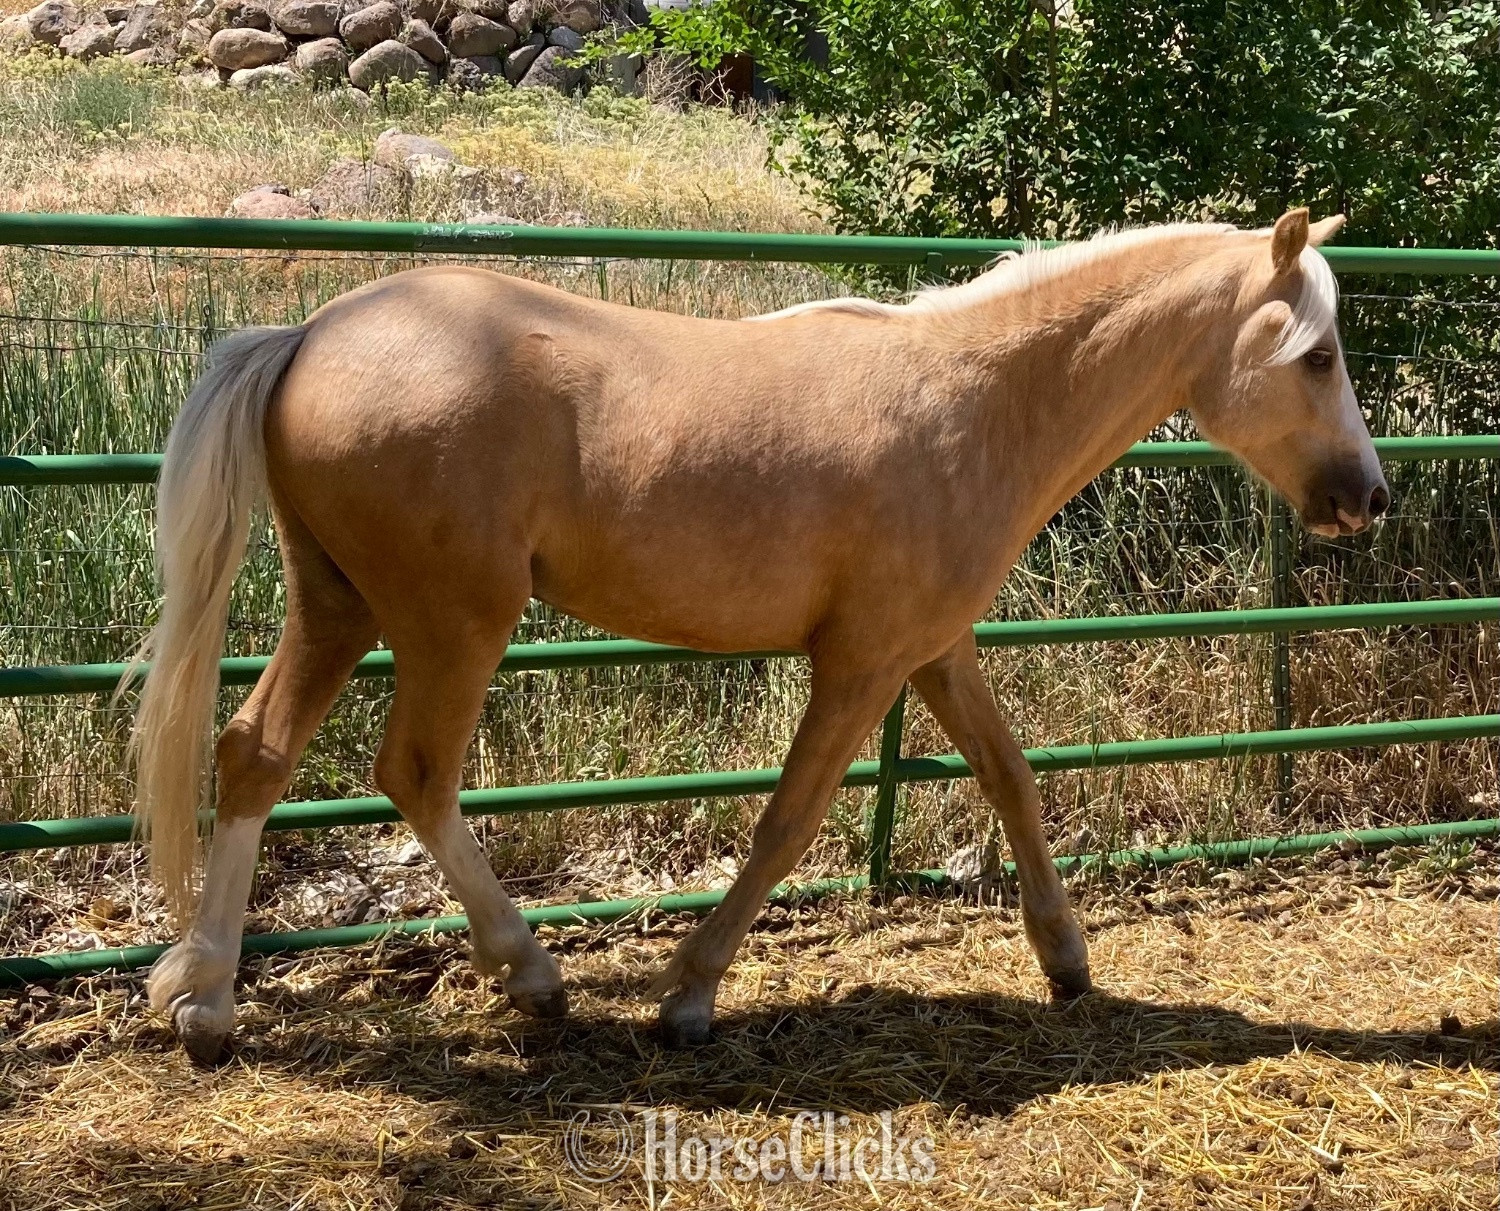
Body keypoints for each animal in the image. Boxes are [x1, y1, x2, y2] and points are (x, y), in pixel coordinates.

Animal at [125, 209, 1388, 1060]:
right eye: (1318, 354)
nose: (1366, 497)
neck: (979, 400)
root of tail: (308, 332)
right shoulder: (862, 662)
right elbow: (789, 822)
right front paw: (688, 992)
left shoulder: (935, 649)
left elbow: (1014, 779)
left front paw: (1066, 959)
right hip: (452, 620)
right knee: (417, 772)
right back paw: (528, 972)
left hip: (339, 602)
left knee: (253, 752)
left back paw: (204, 999)